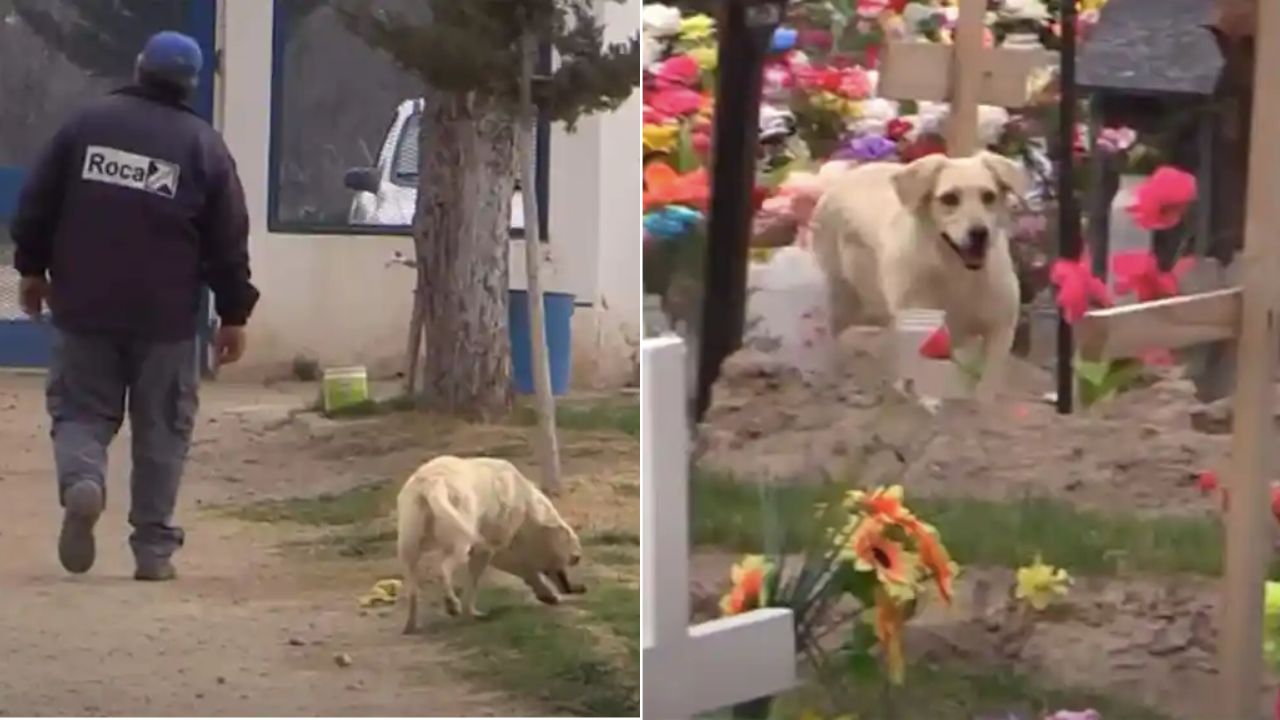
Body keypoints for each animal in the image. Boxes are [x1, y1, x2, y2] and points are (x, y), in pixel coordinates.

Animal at [394, 453, 586, 632]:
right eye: (572, 545)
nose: (578, 557)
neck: (528, 506)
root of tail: (431, 483)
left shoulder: (495, 550)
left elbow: (524, 569)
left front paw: (547, 595)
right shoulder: (492, 548)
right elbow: (478, 581)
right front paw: (471, 612)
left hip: (409, 543)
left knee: (412, 584)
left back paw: (410, 625)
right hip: (461, 541)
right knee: (442, 569)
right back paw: (451, 604)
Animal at [808, 151, 1029, 399]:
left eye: (988, 196)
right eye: (949, 198)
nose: (979, 233)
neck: (956, 273)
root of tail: (840, 180)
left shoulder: (1001, 329)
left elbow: (986, 386)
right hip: (844, 298)